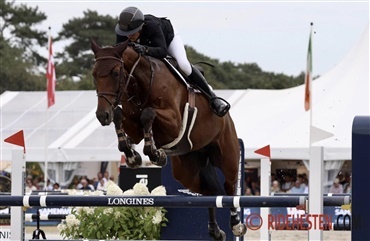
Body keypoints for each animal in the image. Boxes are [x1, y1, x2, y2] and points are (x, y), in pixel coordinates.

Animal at [90, 40, 246, 240]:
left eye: (116, 73)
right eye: (94, 74)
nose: (102, 115)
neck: (141, 83)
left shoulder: (174, 123)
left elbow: (148, 113)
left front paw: (155, 153)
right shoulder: (133, 126)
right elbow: (120, 116)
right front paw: (134, 156)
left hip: (228, 155)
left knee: (230, 186)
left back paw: (235, 224)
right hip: (187, 171)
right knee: (209, 192)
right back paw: (216, 231)